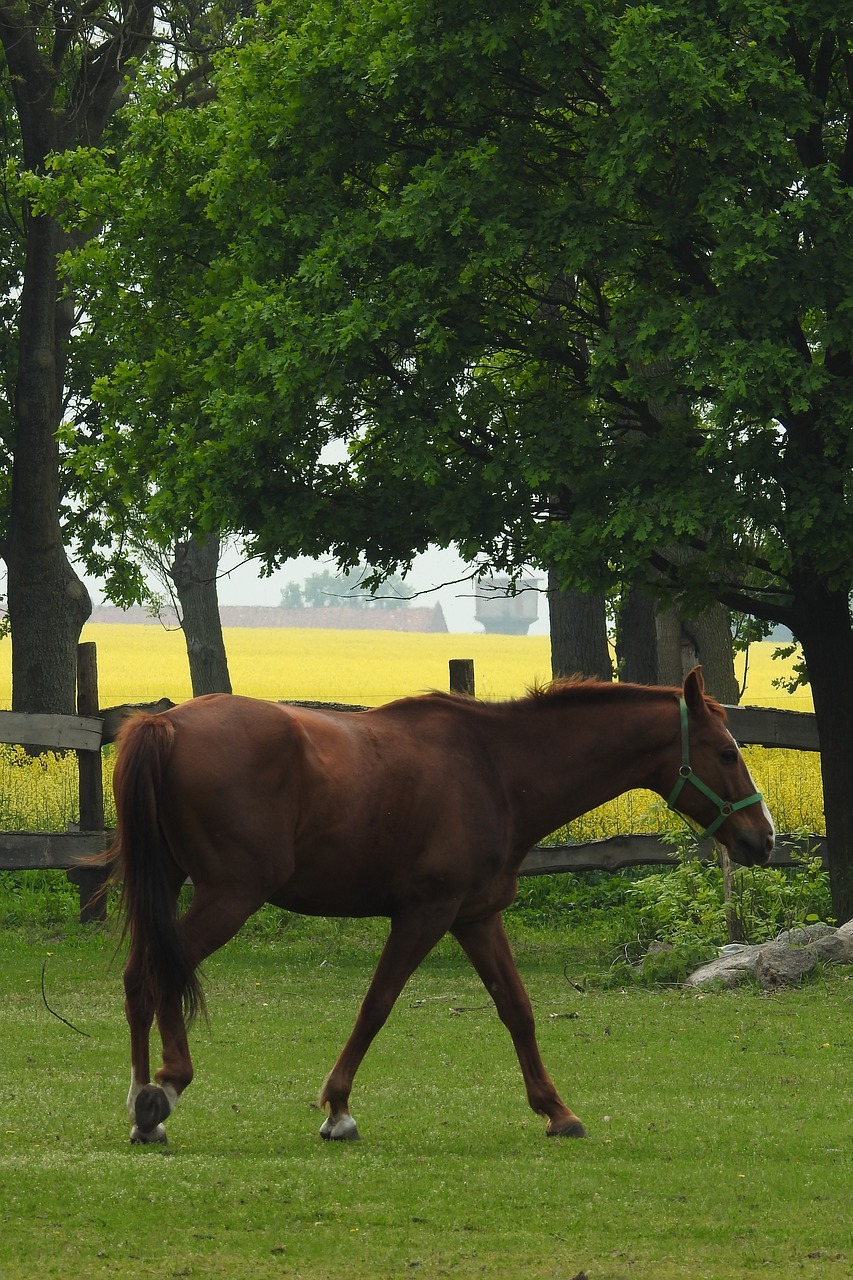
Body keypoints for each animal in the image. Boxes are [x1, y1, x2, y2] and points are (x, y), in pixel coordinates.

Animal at [101, 665, 768, 1146]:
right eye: (727, 753)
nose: (763, 839)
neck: (495, 769)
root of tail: (167, 726)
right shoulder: (426, 915)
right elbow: (376, 1007)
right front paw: (338, 1109)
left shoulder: (475, 917)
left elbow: (517, 1009)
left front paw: (556, 1110)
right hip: (230, 896)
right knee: (164, 969)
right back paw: (164, 1089)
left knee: (139, 976)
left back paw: (140, 1103)